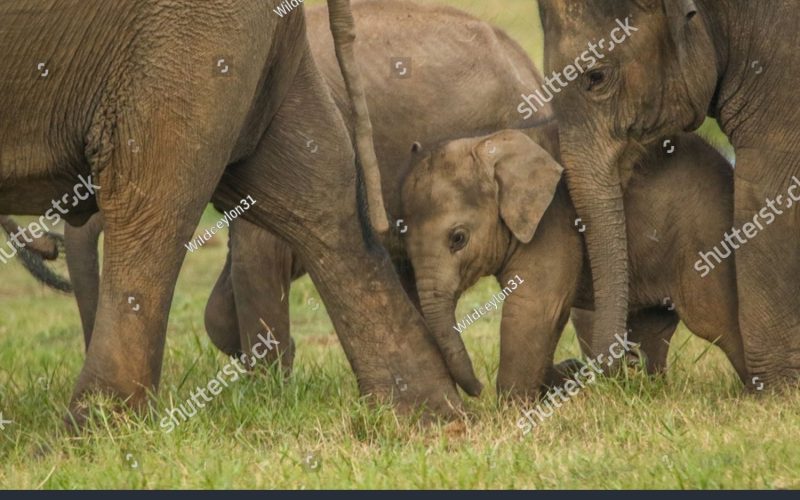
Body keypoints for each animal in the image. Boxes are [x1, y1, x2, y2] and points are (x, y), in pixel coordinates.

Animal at [0, 0, 463, 425]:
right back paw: (427, 416)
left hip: (185, 32)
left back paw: (95, 428)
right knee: (322, 178)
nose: (49, 247)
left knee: (152, 188)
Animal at [400, 128, 750, 397]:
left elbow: (535, 308)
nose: (478, 389)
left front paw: (512, 412)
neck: (489, 140)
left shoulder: (554, 222)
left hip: (704, 240)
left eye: (458, 238)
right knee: (651, 328)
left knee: (716, 319)